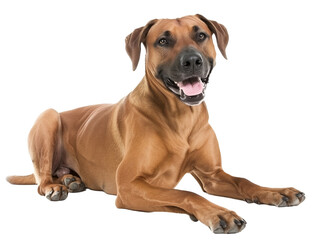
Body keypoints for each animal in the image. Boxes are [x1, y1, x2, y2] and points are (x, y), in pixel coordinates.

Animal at [6, 14, 306, 233]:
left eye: (201, 35)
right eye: (163, 40)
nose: (192, 60)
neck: (181, 117)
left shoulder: (212, 175)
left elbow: (243, 181)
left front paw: (277, 192)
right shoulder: (129, 186)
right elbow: (185, 194)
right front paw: (217, 212)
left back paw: (71, 179)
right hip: (48, 117)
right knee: (42, 179)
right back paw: (56, 186)